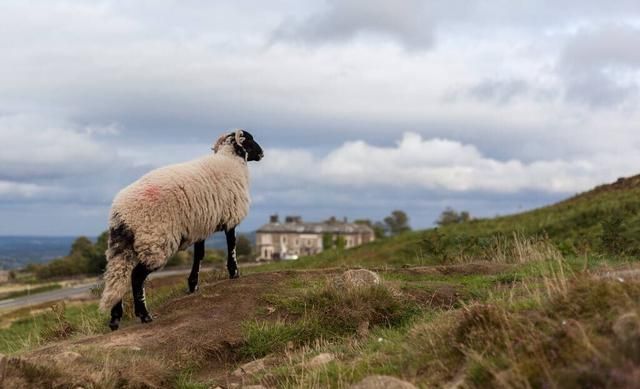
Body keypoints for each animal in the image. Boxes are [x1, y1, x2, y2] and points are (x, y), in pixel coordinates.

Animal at [99, 129, 262, 328]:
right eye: (250, 139)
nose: (262, 153)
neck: (231, 160)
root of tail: (121, 212)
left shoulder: (201, 225)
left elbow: (199, 255)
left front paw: (193, 285)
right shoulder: (230, 216)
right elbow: (232, 245)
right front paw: (234, 273)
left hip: (123, 245)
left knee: (118, 276)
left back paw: (115, 319)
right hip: (155, 240)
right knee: (136, 277)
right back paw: (145, 315)